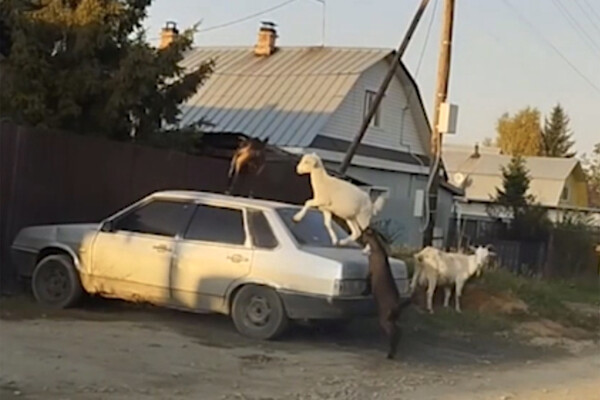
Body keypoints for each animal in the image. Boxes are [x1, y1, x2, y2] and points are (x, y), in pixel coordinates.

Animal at [360, 227, 411, 359]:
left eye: (363, 233)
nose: (359, 236)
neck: (377, 248)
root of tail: (398, 305)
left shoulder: (370, 272)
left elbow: (367, 282)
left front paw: (364, 292)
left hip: (385, 319)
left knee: (394, 333)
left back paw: (390, 354)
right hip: (392, 319)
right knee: (399, 331)